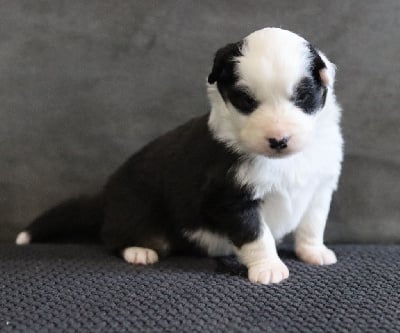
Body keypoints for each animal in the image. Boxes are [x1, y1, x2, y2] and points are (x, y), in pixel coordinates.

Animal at [14, 27, 344, 284]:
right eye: (246, 101)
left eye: (302, 96)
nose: (278, 140)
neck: (285, 162)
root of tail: (105, 195)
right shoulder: (230, 198)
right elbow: (255, 235)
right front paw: (269, 268)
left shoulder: (320, 187)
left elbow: (313, 223)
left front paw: (314, 252)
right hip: (134, 209)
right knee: (113, 238)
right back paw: (139, 251)